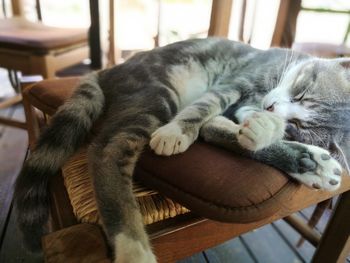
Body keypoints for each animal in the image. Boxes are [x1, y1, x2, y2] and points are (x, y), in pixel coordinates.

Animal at [12, 38, 348, 262]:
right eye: (301, 93)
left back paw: (308, 161)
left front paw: (279, 139)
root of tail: (109, 70)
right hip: (157, 92)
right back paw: (133, 247)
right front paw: (177, 130)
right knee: (109, 149)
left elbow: (236, 127)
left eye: (297, 125)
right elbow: (209, 105)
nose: (271, 108)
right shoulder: (239, 80)